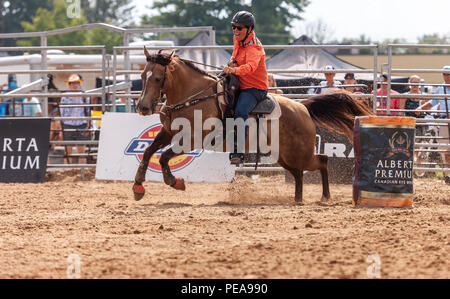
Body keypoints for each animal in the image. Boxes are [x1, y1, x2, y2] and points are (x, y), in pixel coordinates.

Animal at [132, 49, 374, 204]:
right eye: (142, 76)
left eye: (158, 78)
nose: (142, 107)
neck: (195, 97)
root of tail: (302, 107)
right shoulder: (168, 132)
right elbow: (149, 152)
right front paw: (138, 187)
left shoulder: (191, 139)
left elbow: (163, 157)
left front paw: (175, 182)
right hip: (283, 156)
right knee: (299, 173)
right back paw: (297, 198)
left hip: (299, 154)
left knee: (321, 161)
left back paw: (324, 197)